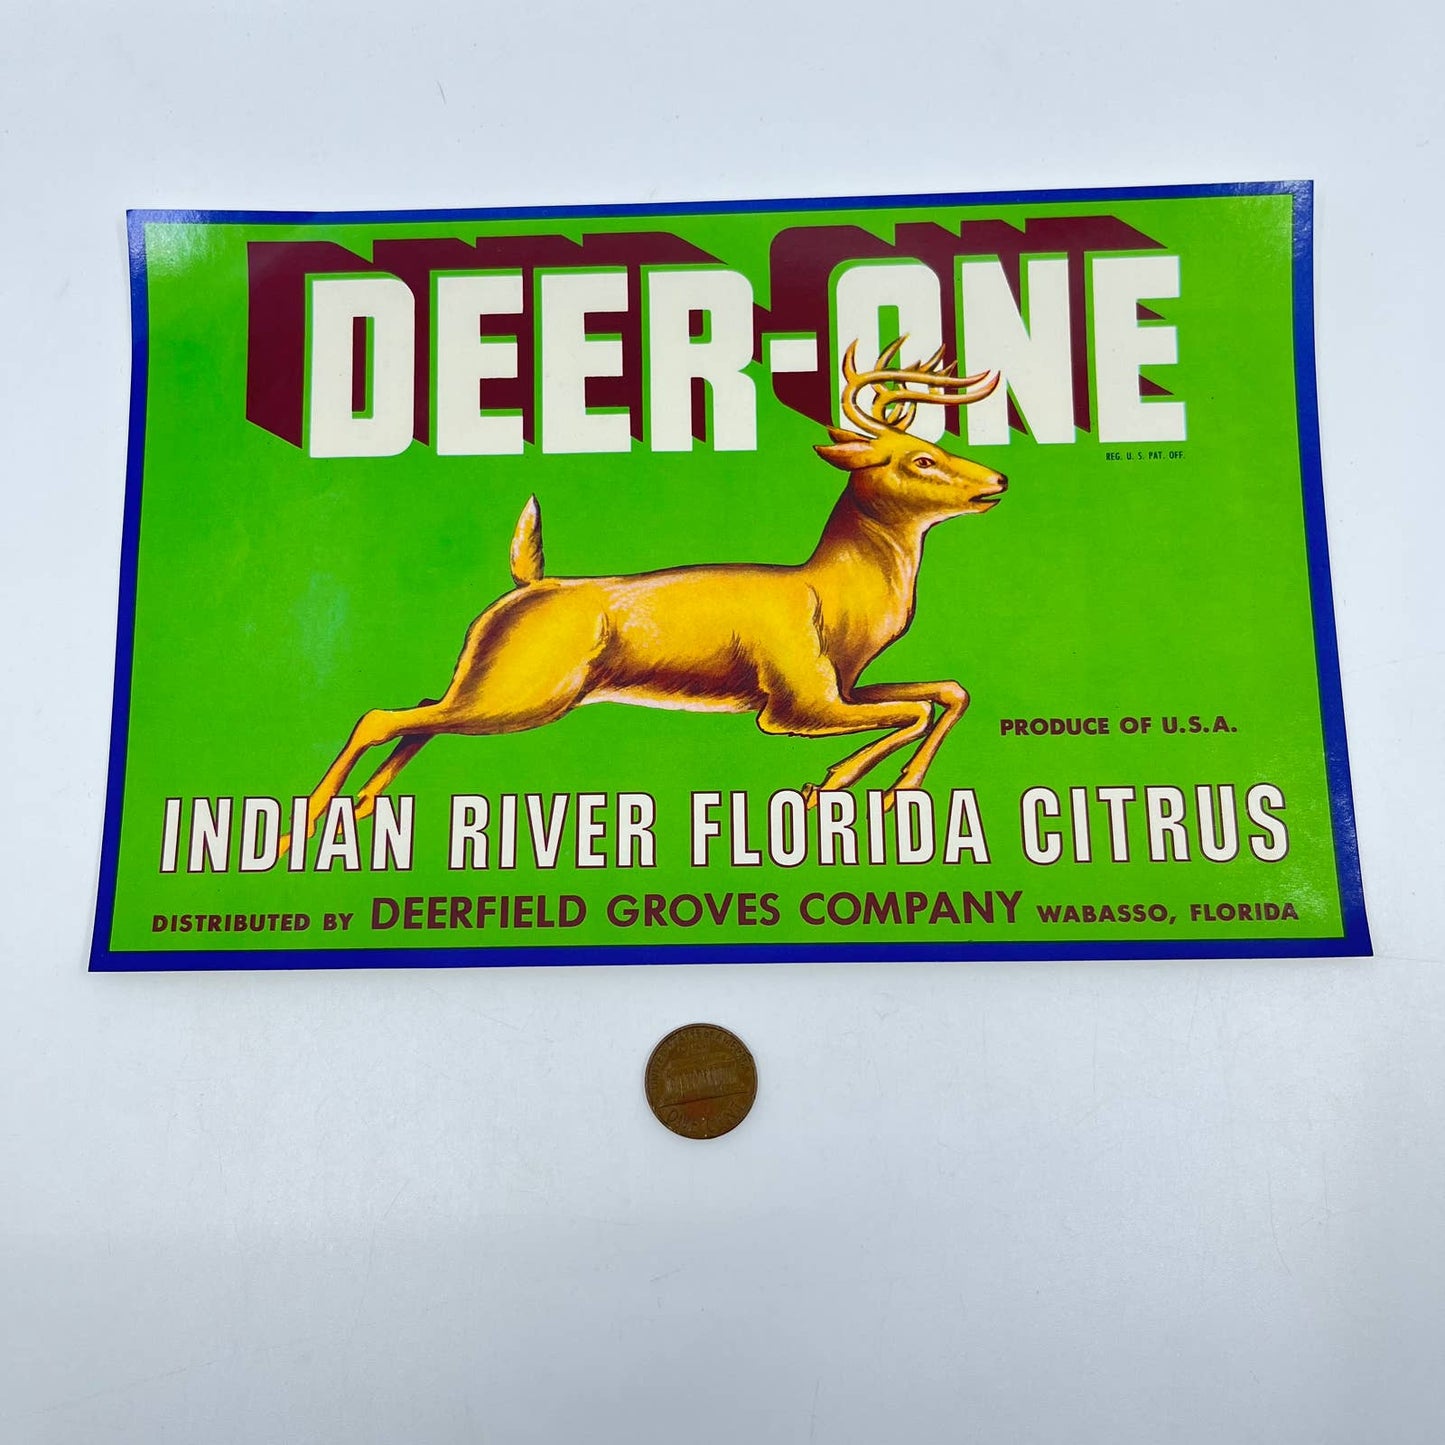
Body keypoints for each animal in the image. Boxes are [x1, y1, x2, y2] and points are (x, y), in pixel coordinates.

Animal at [278, 340, 1006, 855]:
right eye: (918, 458)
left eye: (932, 445)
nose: (996, 479)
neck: (837, 599)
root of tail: (527, 585)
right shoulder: (794, 696)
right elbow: (914, 707)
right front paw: (830, 786)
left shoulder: (844, 685)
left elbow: (946, 693)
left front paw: (894, 796)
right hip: (528, 690)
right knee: (382, 716)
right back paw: (294, 833)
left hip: (495, 683)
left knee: (420, 716)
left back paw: (356, 815)